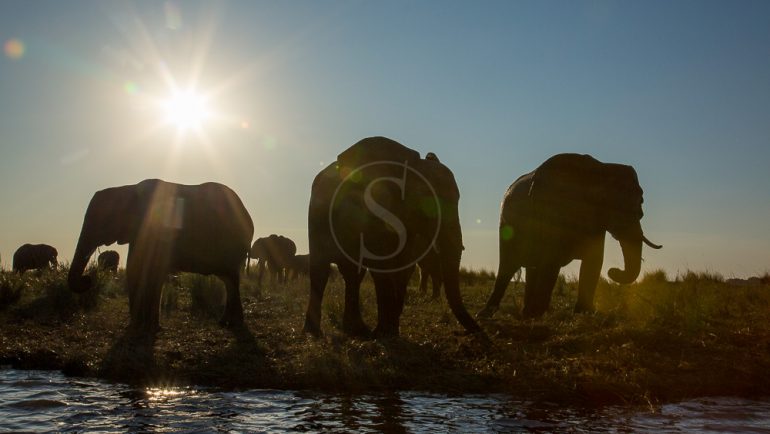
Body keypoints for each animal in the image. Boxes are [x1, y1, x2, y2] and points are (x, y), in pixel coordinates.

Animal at [69, 179, 252, 332]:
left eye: (105, 221)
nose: (88, 279)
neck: (129, 188)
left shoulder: (159, 228)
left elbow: (153, 271)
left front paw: (149, 328)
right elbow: (134, 268)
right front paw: (139, 326)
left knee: (232, 279)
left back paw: (233, 324)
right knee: (228, 280)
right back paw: (224, 323)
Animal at [302, 135, 476, 336]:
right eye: (430, 205)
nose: (459, 332)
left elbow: (403, 264)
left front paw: (391, 331)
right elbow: (381, 262)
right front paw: (385, 333)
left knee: (353, 273)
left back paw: (357, 331)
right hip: (316, 216)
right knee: (320, 270)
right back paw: (314, 333)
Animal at [474, 153, 660, 318]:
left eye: (641, 204)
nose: (613, 271)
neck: (601, 169)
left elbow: (594, 260)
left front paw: (586, 313)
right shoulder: (555, 209)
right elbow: (552, 260)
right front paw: (537, 313)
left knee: (531, 266)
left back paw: (525, 313)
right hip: (506, 224)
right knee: (509, 266)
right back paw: (488, 314)